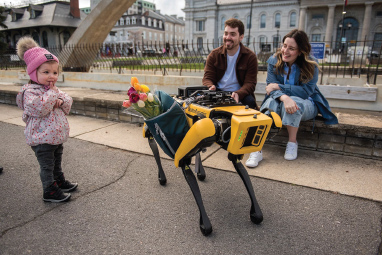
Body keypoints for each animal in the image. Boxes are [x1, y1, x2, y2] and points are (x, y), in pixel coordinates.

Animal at [143, 87, 280, 235]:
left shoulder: (232, 151)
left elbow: (241, 170)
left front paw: (256, 212)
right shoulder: (203, 129)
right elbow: (184, 163)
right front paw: (205, 224)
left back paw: (199, 172)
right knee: (152, 141)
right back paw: (162, 177)